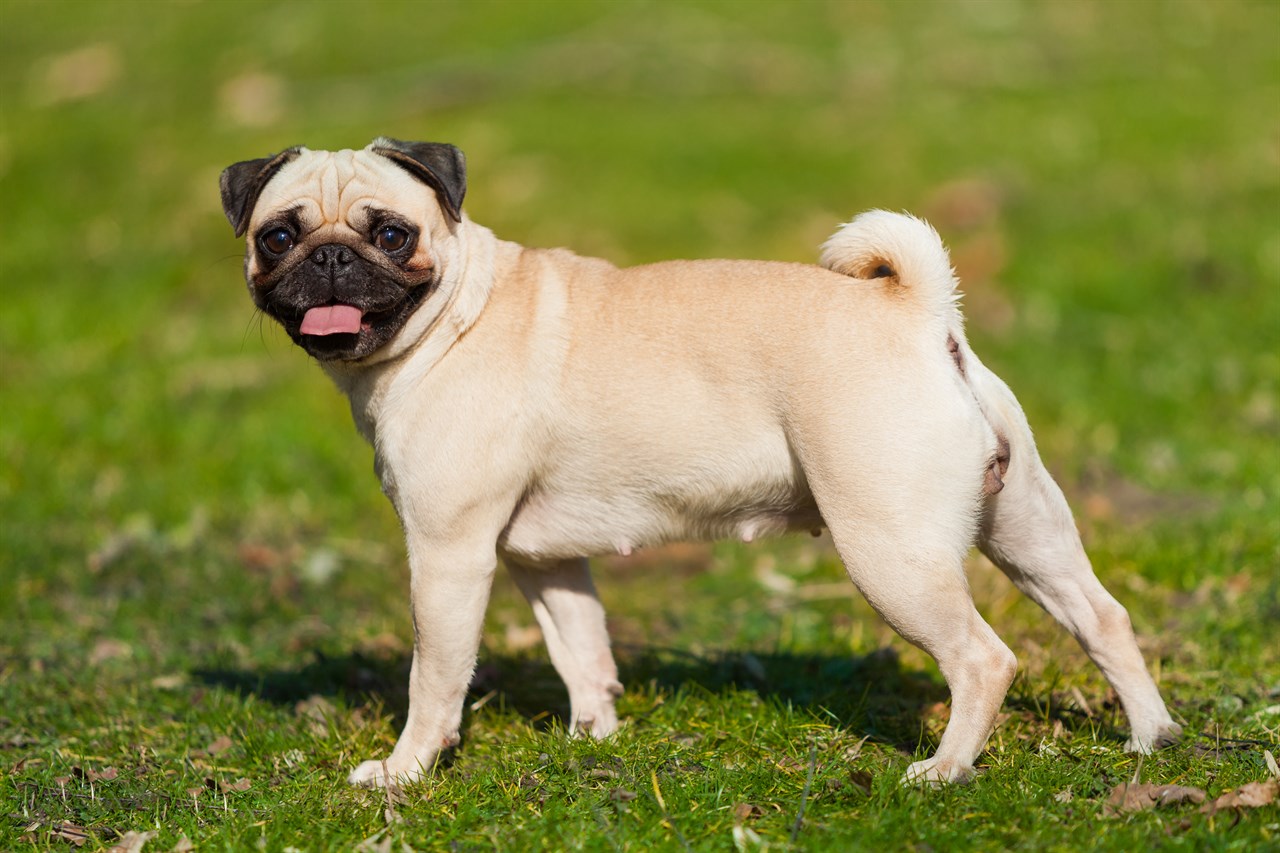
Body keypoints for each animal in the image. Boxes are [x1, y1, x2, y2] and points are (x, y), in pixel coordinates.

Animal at [217, 139, 1177, 783]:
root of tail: (918, 311)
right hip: (1026, 526)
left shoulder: (447, 555)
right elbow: (583, 649)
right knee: (1101, 616)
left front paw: (407, 770)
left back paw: (943, 769)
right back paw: (1150, 736)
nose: (328, 258)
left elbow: (437, 677)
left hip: (890, 548)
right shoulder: (544, 559)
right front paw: (595, 738)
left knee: (984, 658)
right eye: (276, 238)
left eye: (389, 233)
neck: (456, 312)